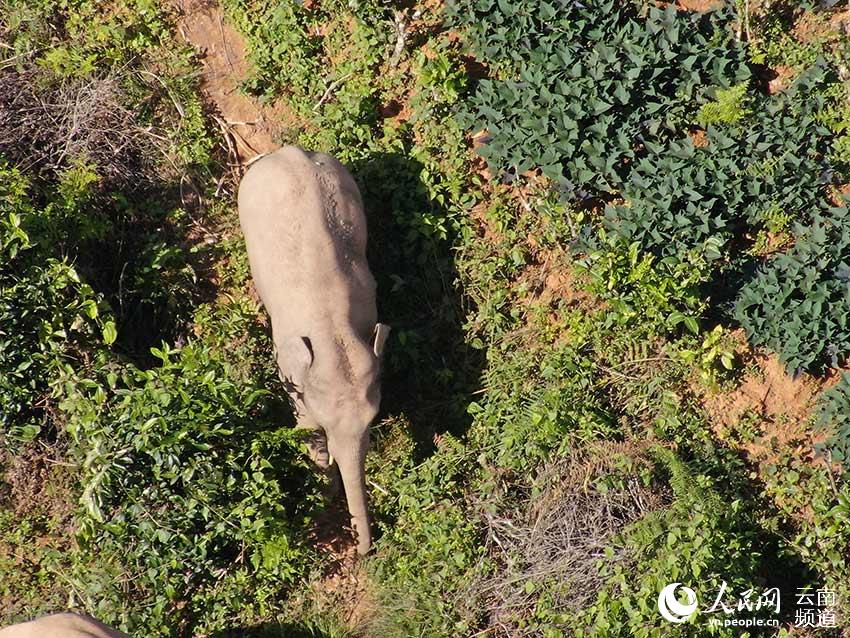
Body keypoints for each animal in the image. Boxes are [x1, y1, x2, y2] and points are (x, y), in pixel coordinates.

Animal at [235, 145, 388, 556]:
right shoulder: (290, 369)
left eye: (372, 420)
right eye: (328, 423)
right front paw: (322, 489)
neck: (334, 330)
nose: (362, 551)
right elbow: (303, 428)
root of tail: (289, 150)